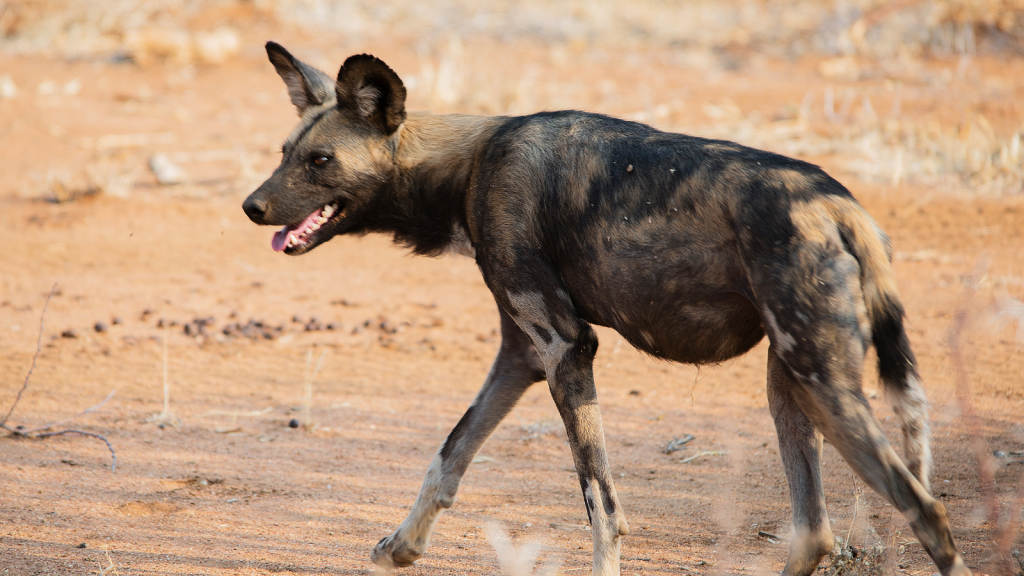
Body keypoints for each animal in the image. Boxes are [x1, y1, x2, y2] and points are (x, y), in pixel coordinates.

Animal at [243, 43, 970, 573]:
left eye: (320, 161)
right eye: (283, 154)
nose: (251, 206)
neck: (466, 164)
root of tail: (842, 205)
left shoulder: (566, 347)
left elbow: (601, 506)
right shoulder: (523, 354)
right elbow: (449, 455)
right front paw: (401, 547)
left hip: (824, 382)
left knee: (926, 512)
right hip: (791, 381)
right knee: (814, 534)